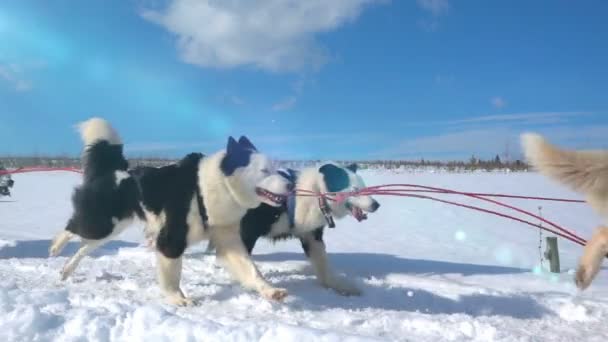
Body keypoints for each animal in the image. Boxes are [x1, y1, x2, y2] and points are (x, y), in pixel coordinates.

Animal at [49, 117, 292, 304]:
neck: (209, 187)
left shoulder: (228, 242)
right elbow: (172, 276)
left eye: (274, 168)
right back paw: (55, 247)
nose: (290, 185)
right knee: (73, 227)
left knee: (84, 247)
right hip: (102, 223)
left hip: (112, 228)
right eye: (264, 170)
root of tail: (115, 170)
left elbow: (251, 269)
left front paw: (271, 291)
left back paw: (66, 269)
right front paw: (178, 299)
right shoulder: (171, 240)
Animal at [209, 164, 380, 296]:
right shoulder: (246, 232)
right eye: (355, 189)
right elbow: (245, 264)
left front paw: (342, 287)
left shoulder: (311, 236)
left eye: (365, 187)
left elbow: (323, 267)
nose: (376, 205)